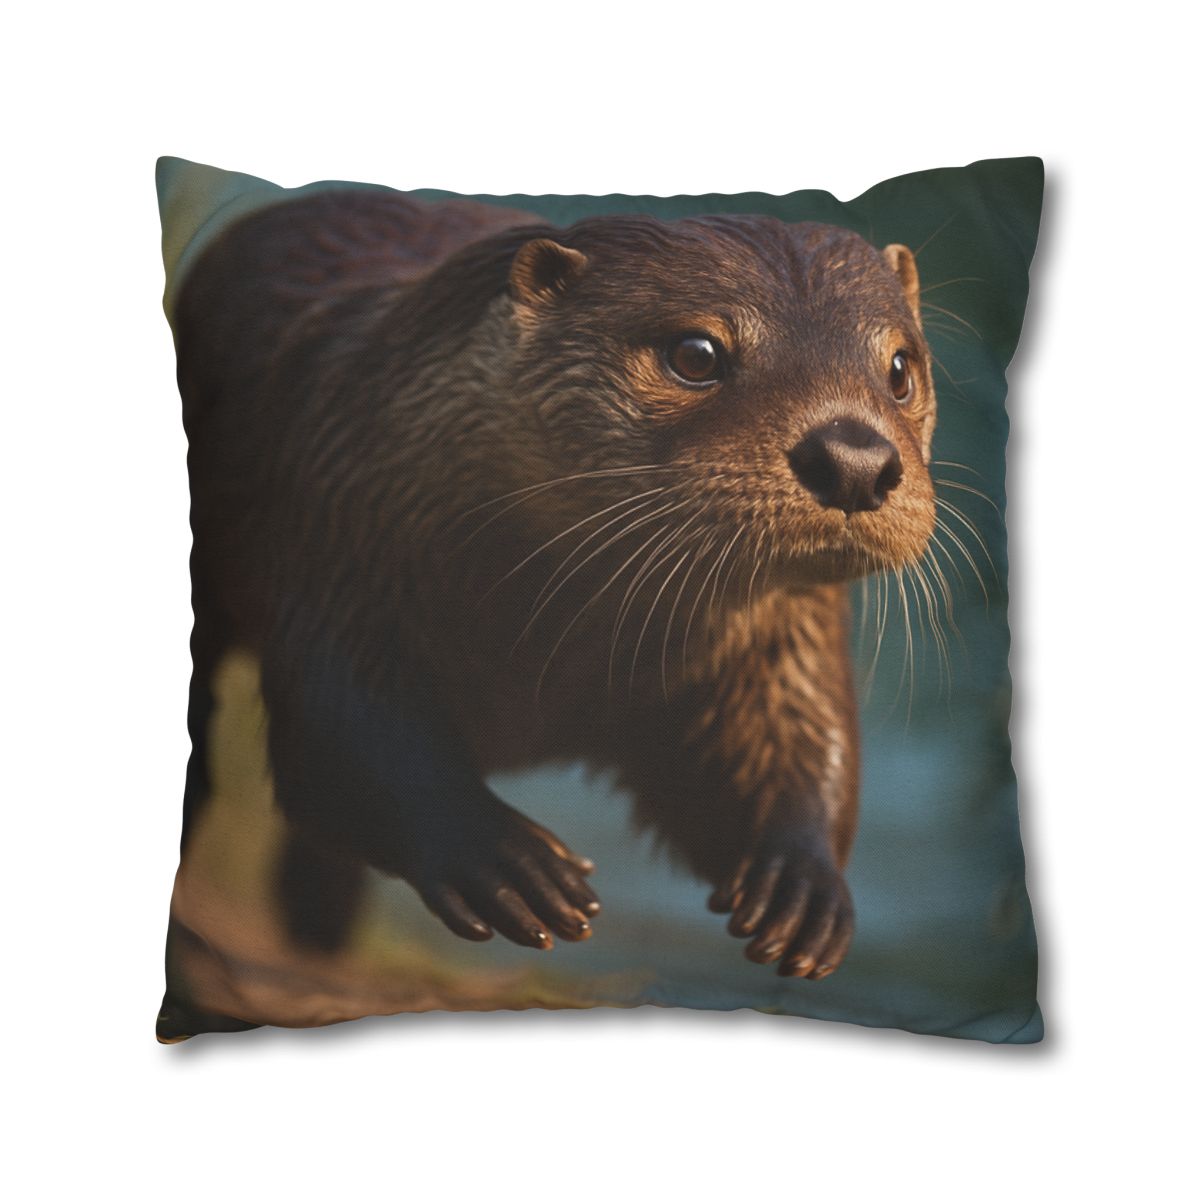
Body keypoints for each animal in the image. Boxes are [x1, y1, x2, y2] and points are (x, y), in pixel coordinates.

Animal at [173, 188, 936, 980]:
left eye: (900, 368)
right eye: (696, 354)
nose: (854, 459)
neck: (548, 640)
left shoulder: (782, 640)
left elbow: (789, 742)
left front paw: (803, 887)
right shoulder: (342, 538)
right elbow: (347, 737)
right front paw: (504, 861)